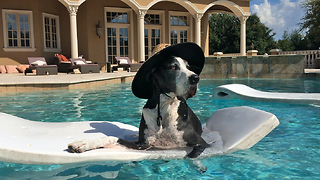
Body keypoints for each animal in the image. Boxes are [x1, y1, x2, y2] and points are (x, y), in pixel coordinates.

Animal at [68, 42, 209, 158]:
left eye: (188, 67)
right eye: (173, 67)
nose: (195, 78)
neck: (163, 106)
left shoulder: (202, 143)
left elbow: (191, 156)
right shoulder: (143, 145)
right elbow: (112, 137)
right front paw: (84, 143)